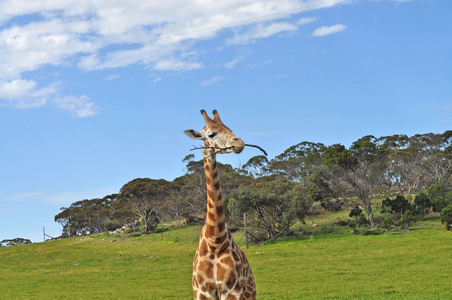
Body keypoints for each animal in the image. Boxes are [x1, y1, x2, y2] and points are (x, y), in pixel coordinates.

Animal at [183, 109, 254, 300]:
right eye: (211, 134)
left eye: (229, 128)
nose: (239, 143)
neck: (214, 242)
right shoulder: (202, 292)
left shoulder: (231, 290)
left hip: (249, 293)